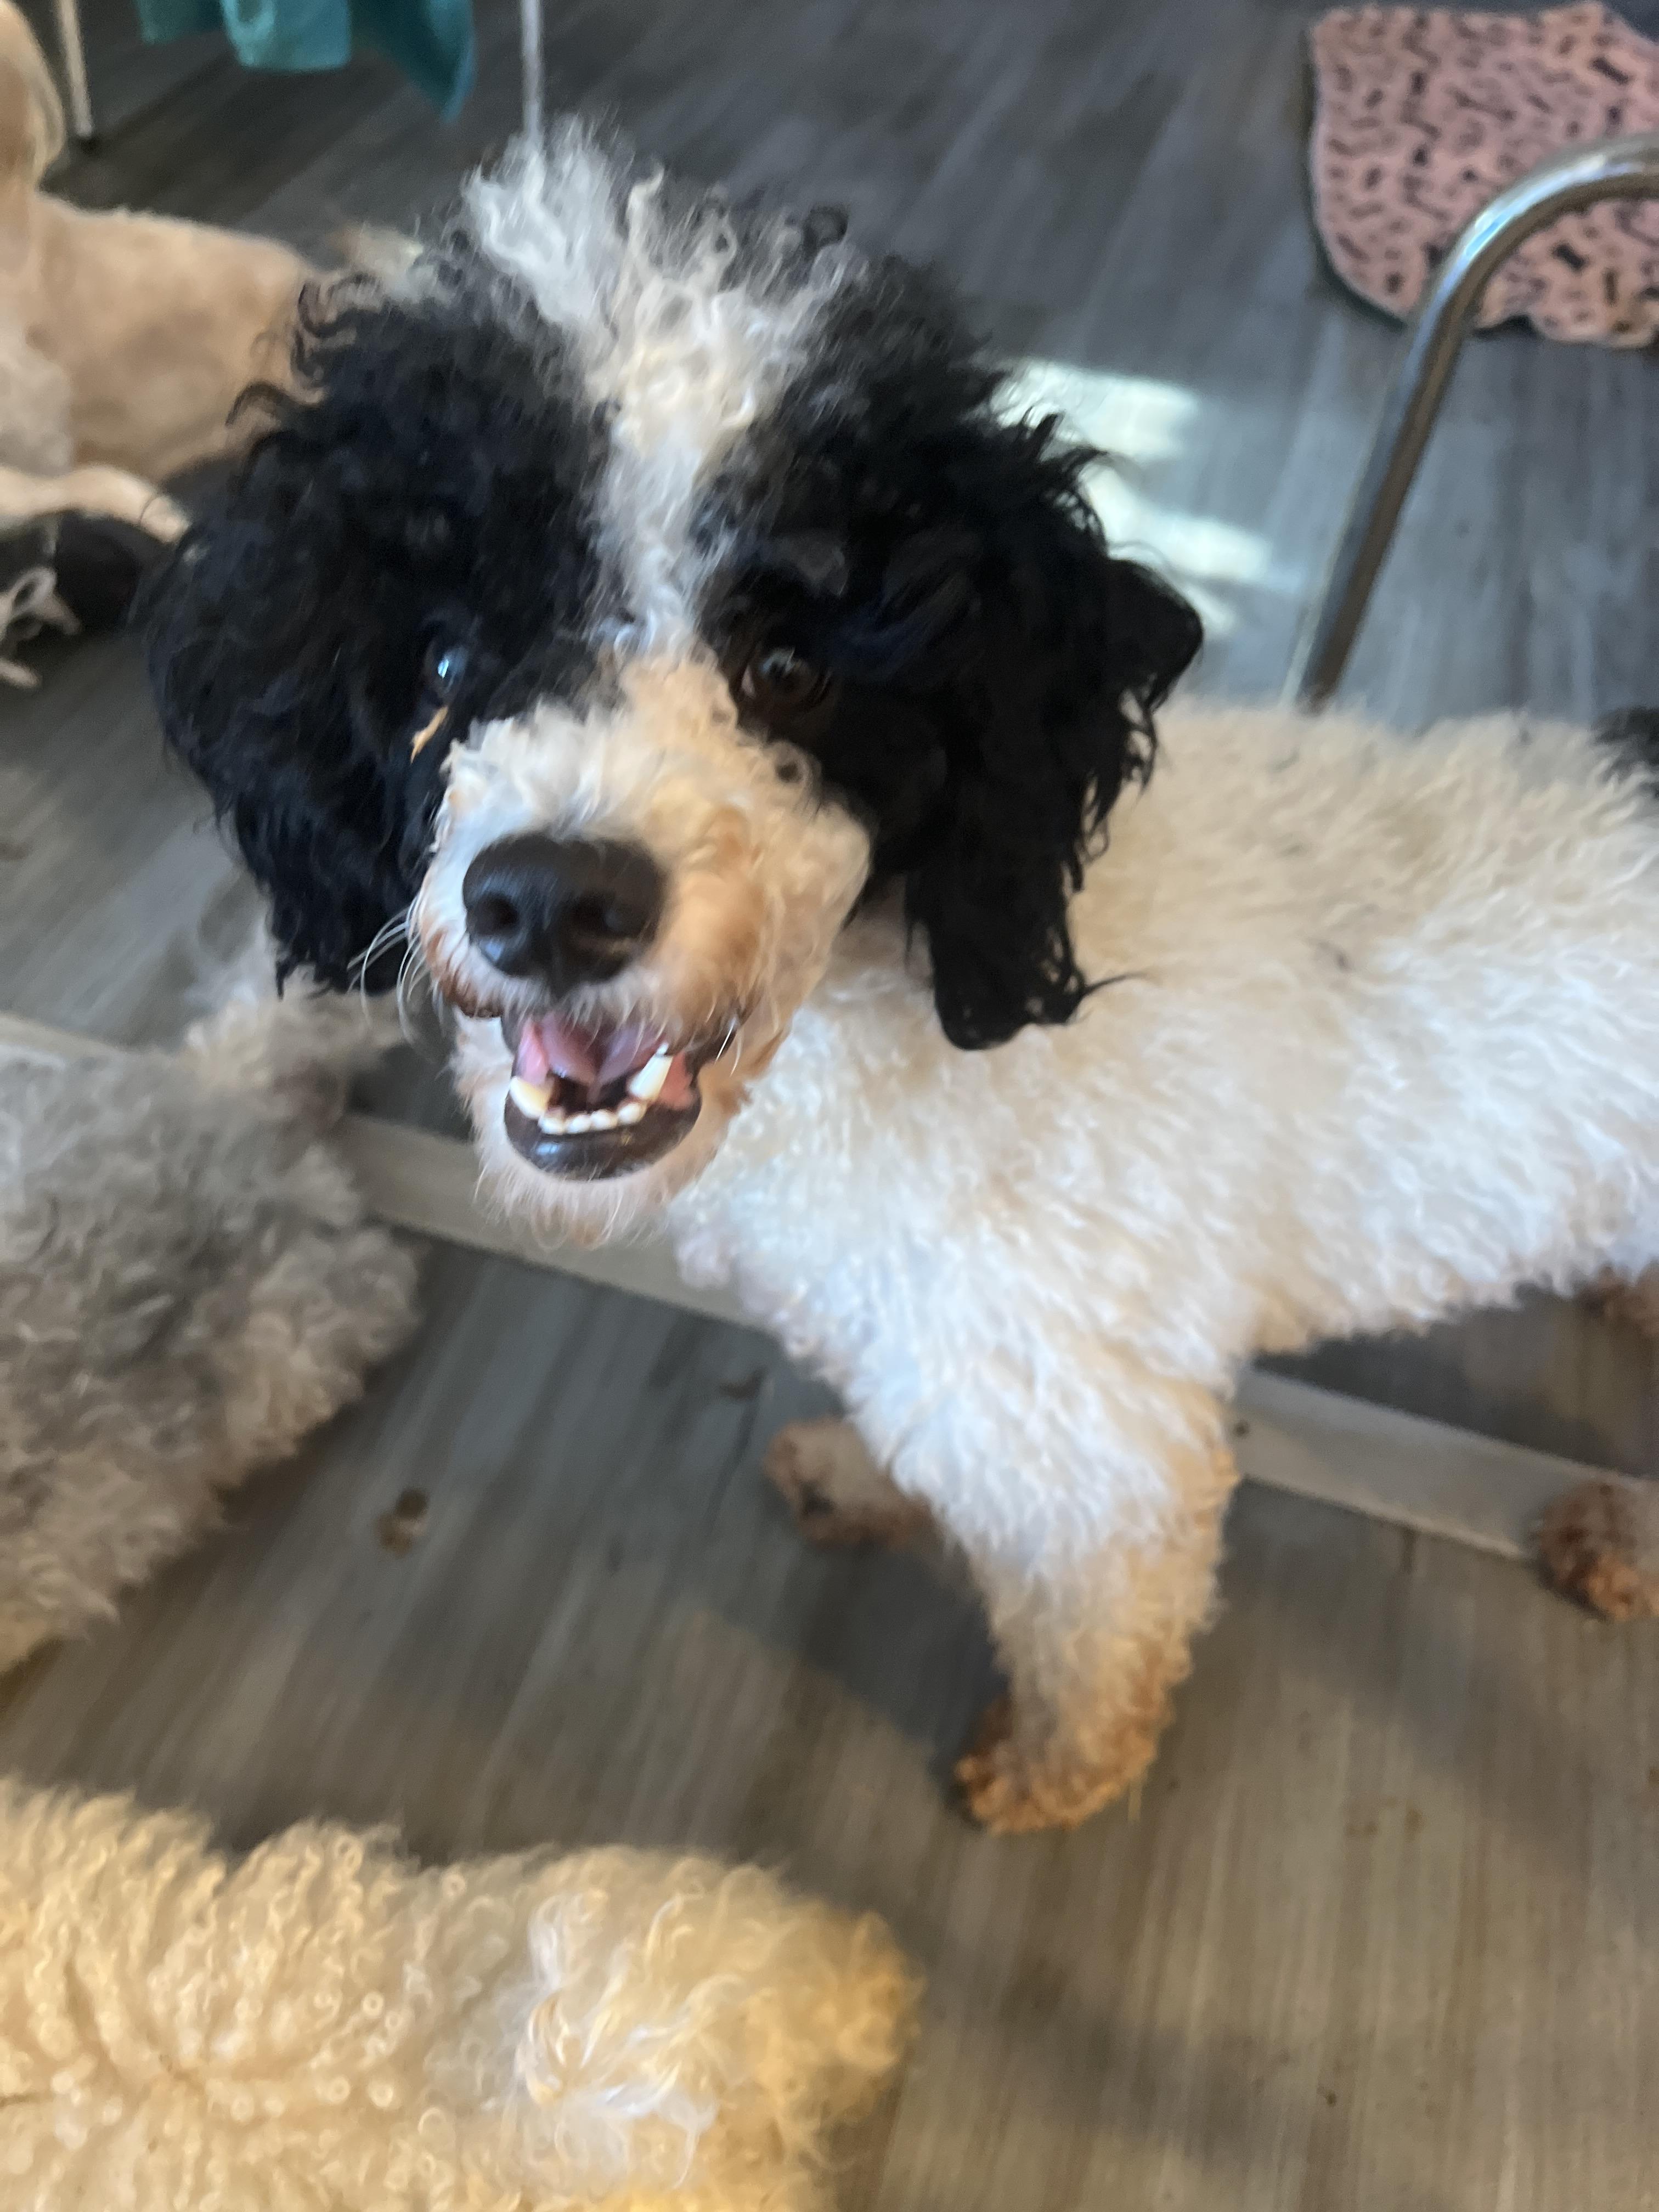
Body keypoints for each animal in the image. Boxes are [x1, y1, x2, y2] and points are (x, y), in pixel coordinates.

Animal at [147, 124, 1659, 1835]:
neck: (910, 1014)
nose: (549, 902)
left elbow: (1092, 1640)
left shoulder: (1092, 1449)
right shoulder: (954, 1366)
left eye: (791, 668)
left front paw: (1051, 1778)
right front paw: (862, 1482)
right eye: (450, 664)